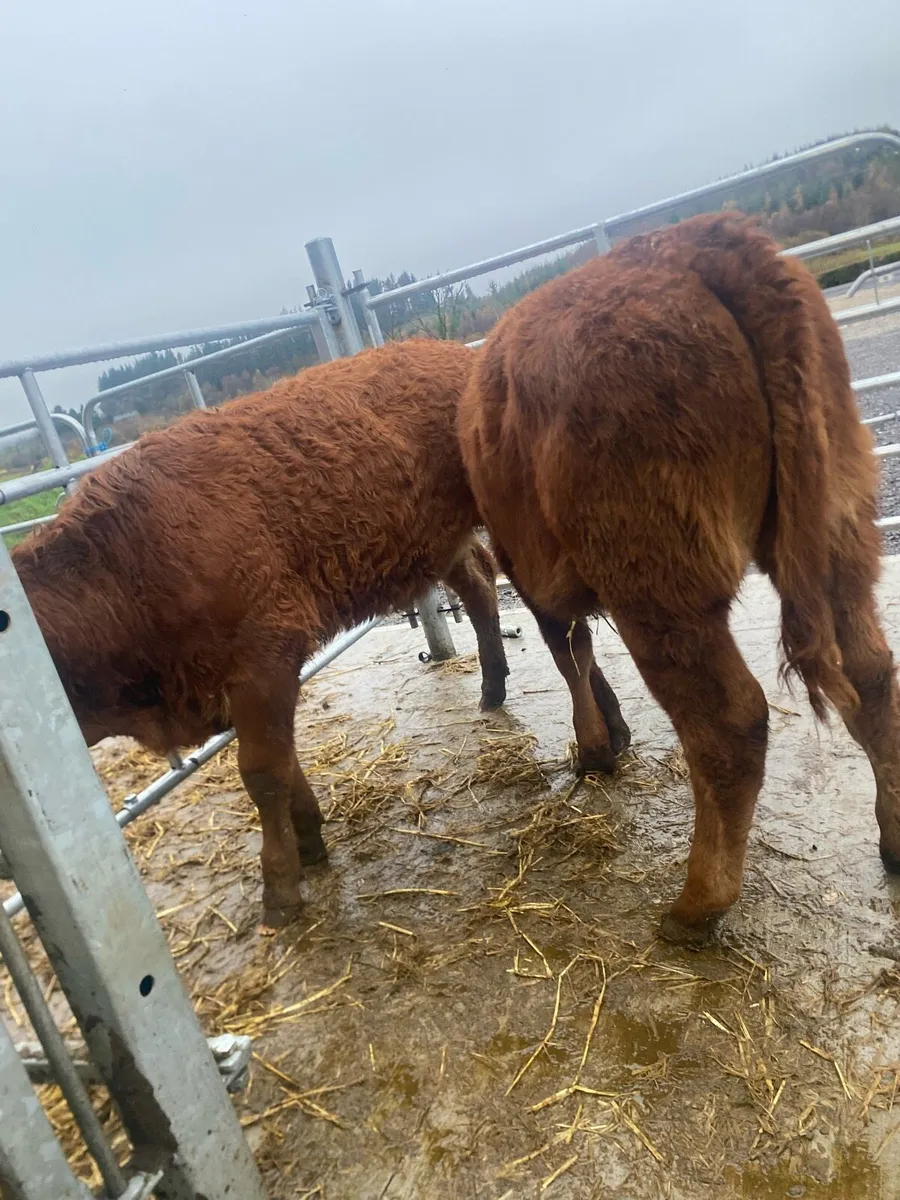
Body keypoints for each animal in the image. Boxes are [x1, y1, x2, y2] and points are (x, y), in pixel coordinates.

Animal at [13, 339, 510, 929]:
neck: (119, 569)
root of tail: (449, 349)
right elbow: (284, 761)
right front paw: (309, 839)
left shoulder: (264, 657)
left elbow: (263, 770)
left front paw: (280, 886)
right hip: (438, 540)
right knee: (478, 584)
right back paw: (492, 687)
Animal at [458, 213, 900, 944]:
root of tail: (704, 240)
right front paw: (609, 738)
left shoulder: (532, 569)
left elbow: (569, 650)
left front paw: (595, 749)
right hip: (841, 525)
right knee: (870, 675)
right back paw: (894, 839)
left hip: (660, 585)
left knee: (729, 725)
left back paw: (696, 905)